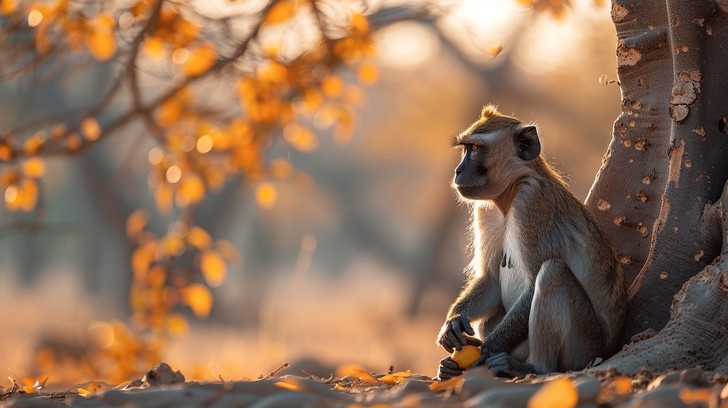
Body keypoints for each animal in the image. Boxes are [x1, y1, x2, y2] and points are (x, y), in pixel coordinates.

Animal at [435, 105, 626, 380]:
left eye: (476, 149)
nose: (458, 171)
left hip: (586, 348)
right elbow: (491, 280)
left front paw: (484, 351)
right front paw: (453, 323)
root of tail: (607, 350)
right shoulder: (486, 211)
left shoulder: (531, 202)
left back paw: (533, 367)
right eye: (466, 148)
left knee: (552, 273)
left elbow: (534, 280)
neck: (510, 195)